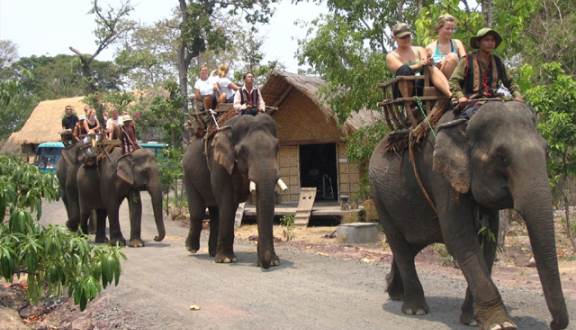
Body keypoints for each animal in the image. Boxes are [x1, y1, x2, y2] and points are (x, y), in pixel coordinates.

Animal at [183, 113, 282, 268]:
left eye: (277, 147)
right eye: (243, 151)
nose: (264, 265)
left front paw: (273, 262)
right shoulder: (219, 163)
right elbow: (228, 201)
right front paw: (226, 260)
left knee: (216, 212)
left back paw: (213, 253)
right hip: (188, 175)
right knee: (198, 212)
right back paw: (191, 248)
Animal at [368, 101, 568, 330]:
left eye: (547, 151)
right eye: (501, 157)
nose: (552, 323)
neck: (466, 123)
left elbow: (488, 242)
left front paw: (473, 319)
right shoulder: (441, 176)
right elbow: (459, 238)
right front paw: (501, 324)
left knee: (410, 247)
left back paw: (394, 292)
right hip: (379, 198)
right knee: (399, 244)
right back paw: (414, 309)